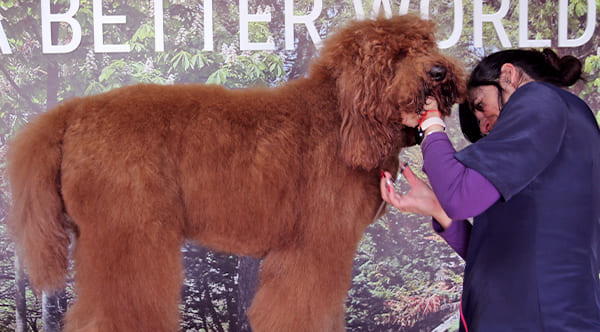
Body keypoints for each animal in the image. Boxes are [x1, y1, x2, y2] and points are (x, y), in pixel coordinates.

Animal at [5, 14, 464, 330]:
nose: (439, 71)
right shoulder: (313, 248)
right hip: (130, 238)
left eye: (427, 44)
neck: (340, 117)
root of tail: (73, 110)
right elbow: (303, 312)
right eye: (398, 54)